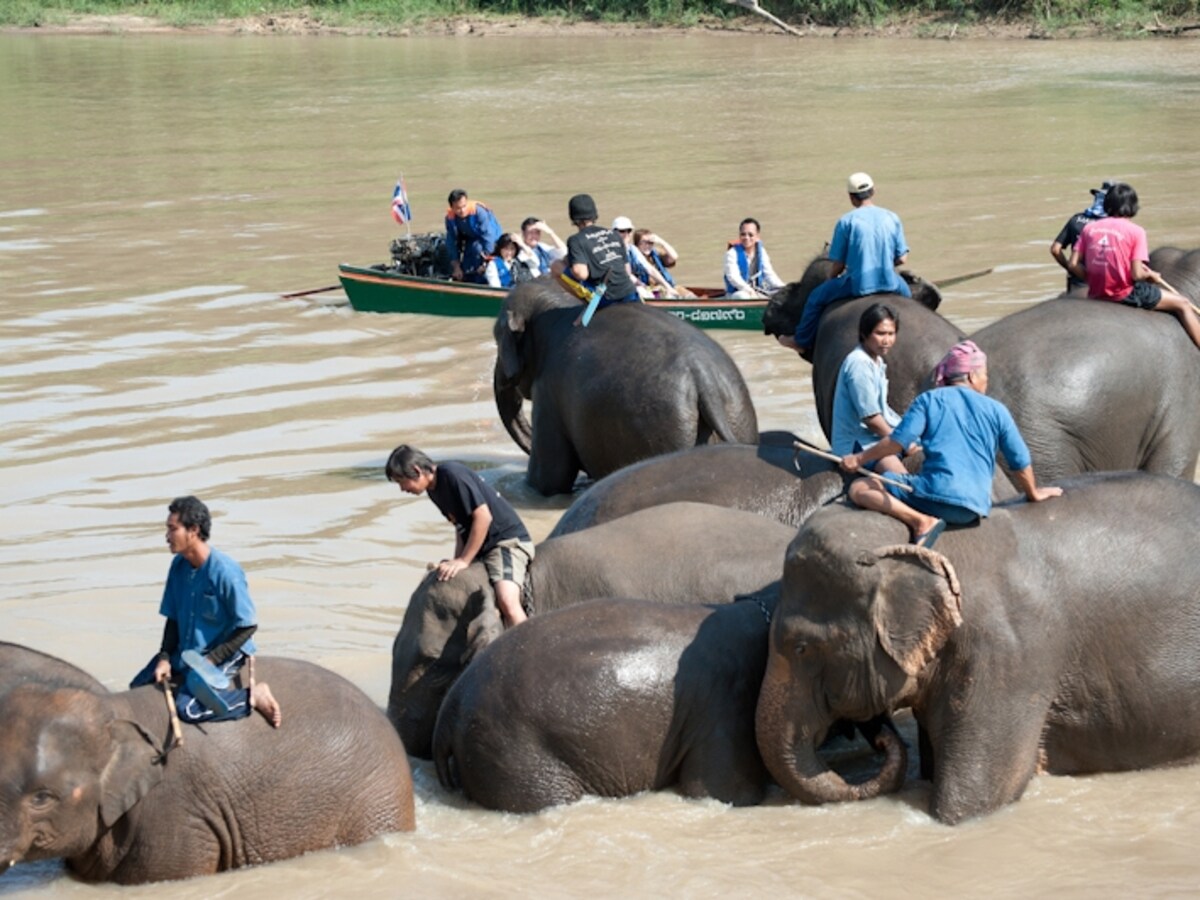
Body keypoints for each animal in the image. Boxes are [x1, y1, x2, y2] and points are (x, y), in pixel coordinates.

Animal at [494, 281, 759, 495]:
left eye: (496, 337)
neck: (561, 300)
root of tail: (705, 378)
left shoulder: (547, 392)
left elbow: (549, 479)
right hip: (737, 415)